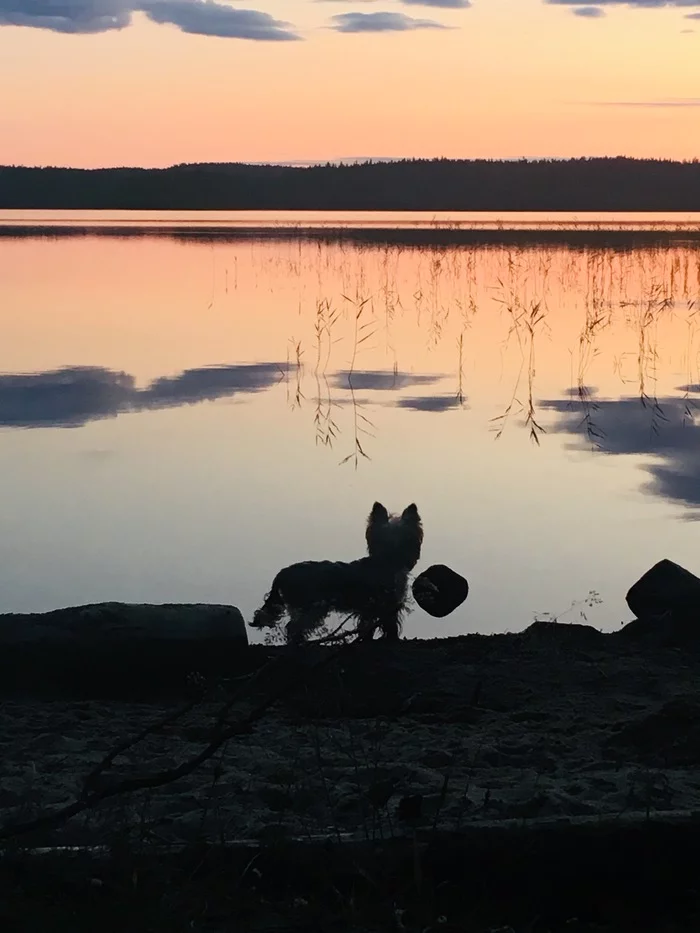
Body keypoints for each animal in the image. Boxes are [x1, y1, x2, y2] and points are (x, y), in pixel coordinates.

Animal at [249, 502, 422, 640]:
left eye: (407, 537)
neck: (388, 560)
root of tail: (282, 573)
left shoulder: (371, 609)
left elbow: (368, 627)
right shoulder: (386, 605)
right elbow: (389, 625)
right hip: (311, 607)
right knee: (294, 627)